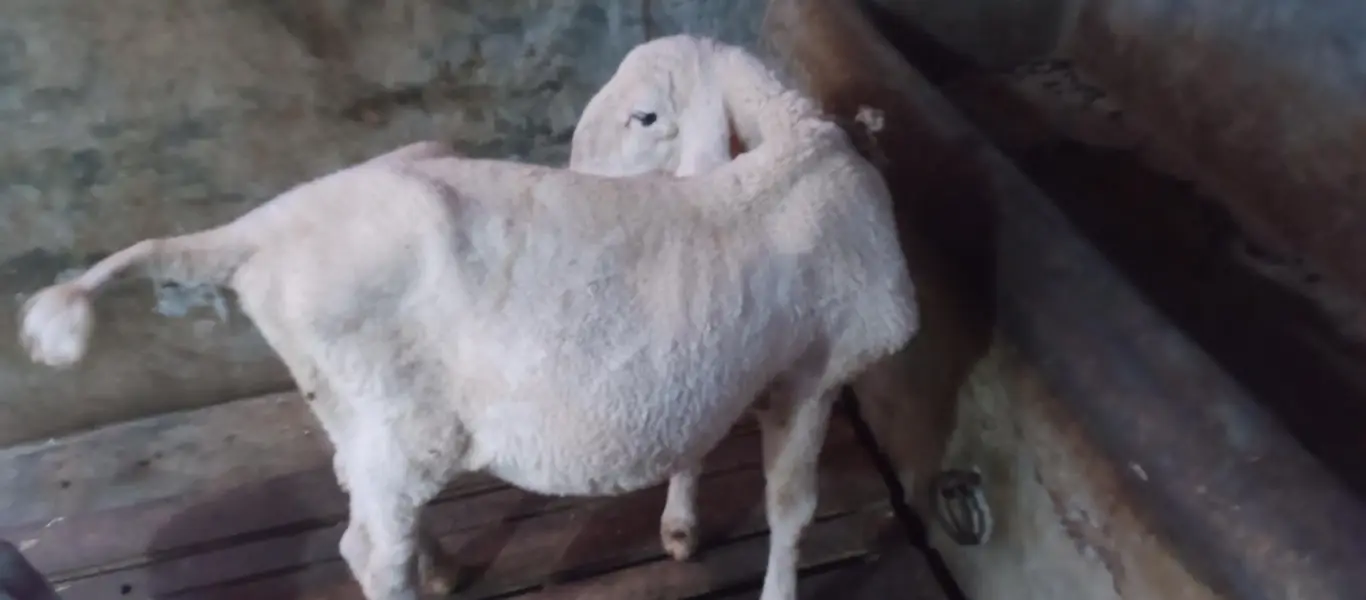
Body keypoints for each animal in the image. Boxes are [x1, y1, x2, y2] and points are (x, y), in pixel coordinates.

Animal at [17, 34, 918, 600]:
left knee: (362, 494)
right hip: (393, 415)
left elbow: (708, 455)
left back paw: (441, 565)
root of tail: (259, 232)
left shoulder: (751, 367)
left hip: (356, 408)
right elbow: (791, 511)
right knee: (367, 554)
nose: (581, 175)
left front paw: (681, 526)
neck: (795, 145)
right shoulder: (816, 373)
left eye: (645, 117)